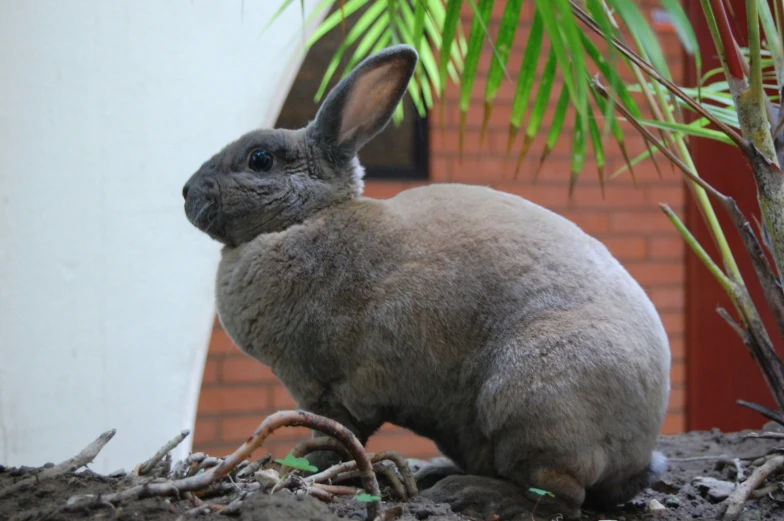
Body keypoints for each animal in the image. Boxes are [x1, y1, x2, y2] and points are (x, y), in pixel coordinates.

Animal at [182, 43, 668, 516]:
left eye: (259, 159)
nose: (186, 192)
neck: (306, 218)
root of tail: (639, 451)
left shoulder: (328, 395)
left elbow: (335, 440)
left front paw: (299, 471)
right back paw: (438, 473)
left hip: (532, 405)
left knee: (561, 498)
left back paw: (465, 493)